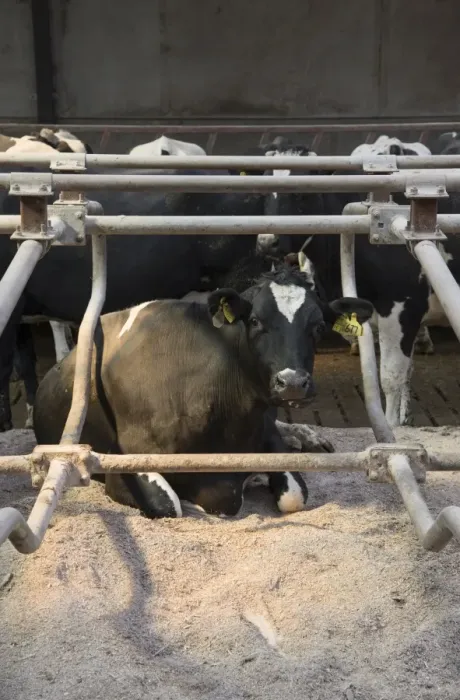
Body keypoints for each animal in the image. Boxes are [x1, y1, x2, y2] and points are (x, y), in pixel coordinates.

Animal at [34, 264, 373, 517]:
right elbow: (168, 503)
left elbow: (294, 495)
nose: (292, 383)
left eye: (319, 326)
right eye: (254, 321)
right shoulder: (122, 466)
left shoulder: (265, 433)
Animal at [252, 135, 460, 427]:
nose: (266, 242)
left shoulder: (402, 309)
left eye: (303, 193)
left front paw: (393, 426)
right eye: (261, 193)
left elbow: (392, 377)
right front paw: (404, 419)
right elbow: (406, 371)